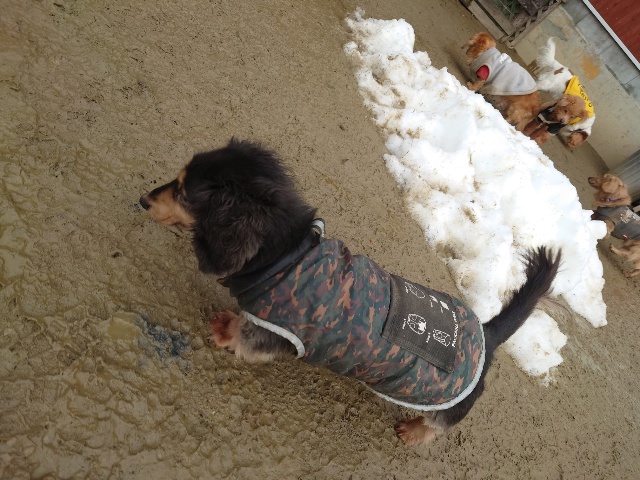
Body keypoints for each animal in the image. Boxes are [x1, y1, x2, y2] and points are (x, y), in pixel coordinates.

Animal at [140, 139, 561, 446]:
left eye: (182, 193)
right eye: (177, 182)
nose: (143, 199)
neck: (286, 256)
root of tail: (488, 334)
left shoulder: (276, 331)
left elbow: (245, 336)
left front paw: (225, 330)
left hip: (447, 404)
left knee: (441, 424)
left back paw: (416, 432)